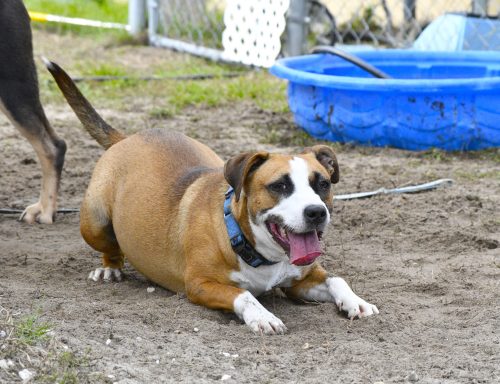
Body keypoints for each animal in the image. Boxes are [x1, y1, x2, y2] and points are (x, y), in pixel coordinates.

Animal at [46, 59, 378, 332]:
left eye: (322, 184)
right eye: (280, 186)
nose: (316, 212)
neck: (254, 249)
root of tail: (128, 138)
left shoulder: (303, 280)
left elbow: (337, 278)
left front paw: (356, 301)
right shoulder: (199, 285)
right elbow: (244, 294)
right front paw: (263, 317)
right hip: (94, 221)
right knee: (109, 246)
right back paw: (110, 268)